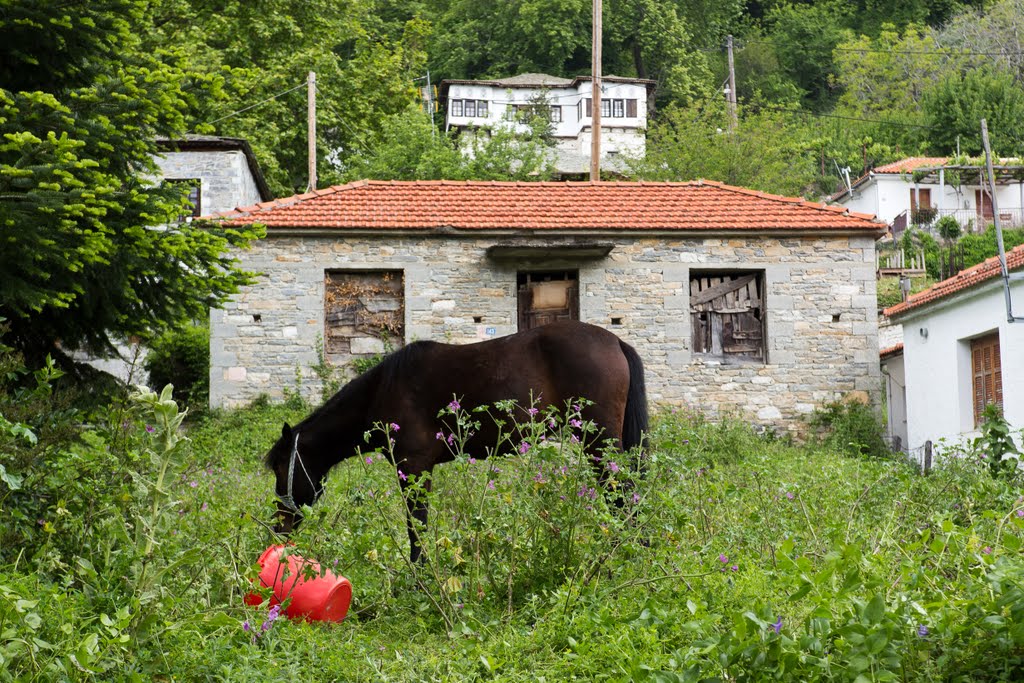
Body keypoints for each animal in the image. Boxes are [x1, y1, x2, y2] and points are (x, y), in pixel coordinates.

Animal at [264, 321, 647, 561]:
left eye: (281, 468)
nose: (279, 529)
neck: (383, 390)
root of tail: (615, 342)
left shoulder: (414, 469)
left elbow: (416, 526)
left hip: (599, 445)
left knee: (622, 496)